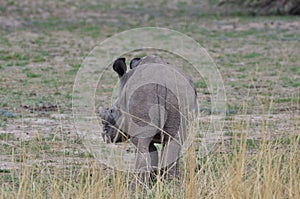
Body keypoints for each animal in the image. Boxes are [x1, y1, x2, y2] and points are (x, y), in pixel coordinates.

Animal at [98, 54, 197, 187]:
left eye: (112, 111)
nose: (105, 135)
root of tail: (162, 81)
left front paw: (148, 182)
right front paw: (154, 180)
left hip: (143, 92)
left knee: (141, 145)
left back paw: (134, 187)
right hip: (181, 94)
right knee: (174, 141)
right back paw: (172, 184)